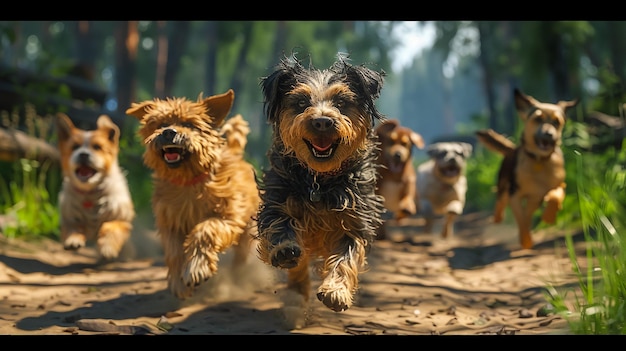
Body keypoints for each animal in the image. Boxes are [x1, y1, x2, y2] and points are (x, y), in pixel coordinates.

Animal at [56, 113, 135, 262]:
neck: (90, 193)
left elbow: (110, 228)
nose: (83, 154)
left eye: (97, 147)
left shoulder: (120, 219)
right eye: (75, 147)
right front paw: (73, 240)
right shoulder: (70, 217)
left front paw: (107, 247)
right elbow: (73, 227)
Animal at [125, 88, 260, 300]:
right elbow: (174, 252)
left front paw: (196, 268)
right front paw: (179, 282)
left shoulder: (227, 217)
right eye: (161, 124)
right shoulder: (171, 222)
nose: (168, 132)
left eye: (189, 125)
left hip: (246, 228)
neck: (187, 182)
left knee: (241, 254)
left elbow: (204, 230)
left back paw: (238, 276)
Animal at [476, 89, 576, 252]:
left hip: (533, 200)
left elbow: (555, 197)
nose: (549, 134)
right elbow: (521, 219)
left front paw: (548, 217)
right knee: (501, 203)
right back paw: (498, 217)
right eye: (538, 119)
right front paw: (526, 241)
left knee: (528, 213)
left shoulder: (558, 186)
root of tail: (511, 149)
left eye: (557, 122)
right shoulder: (515, 194)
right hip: (504, 186)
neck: (539, 160)